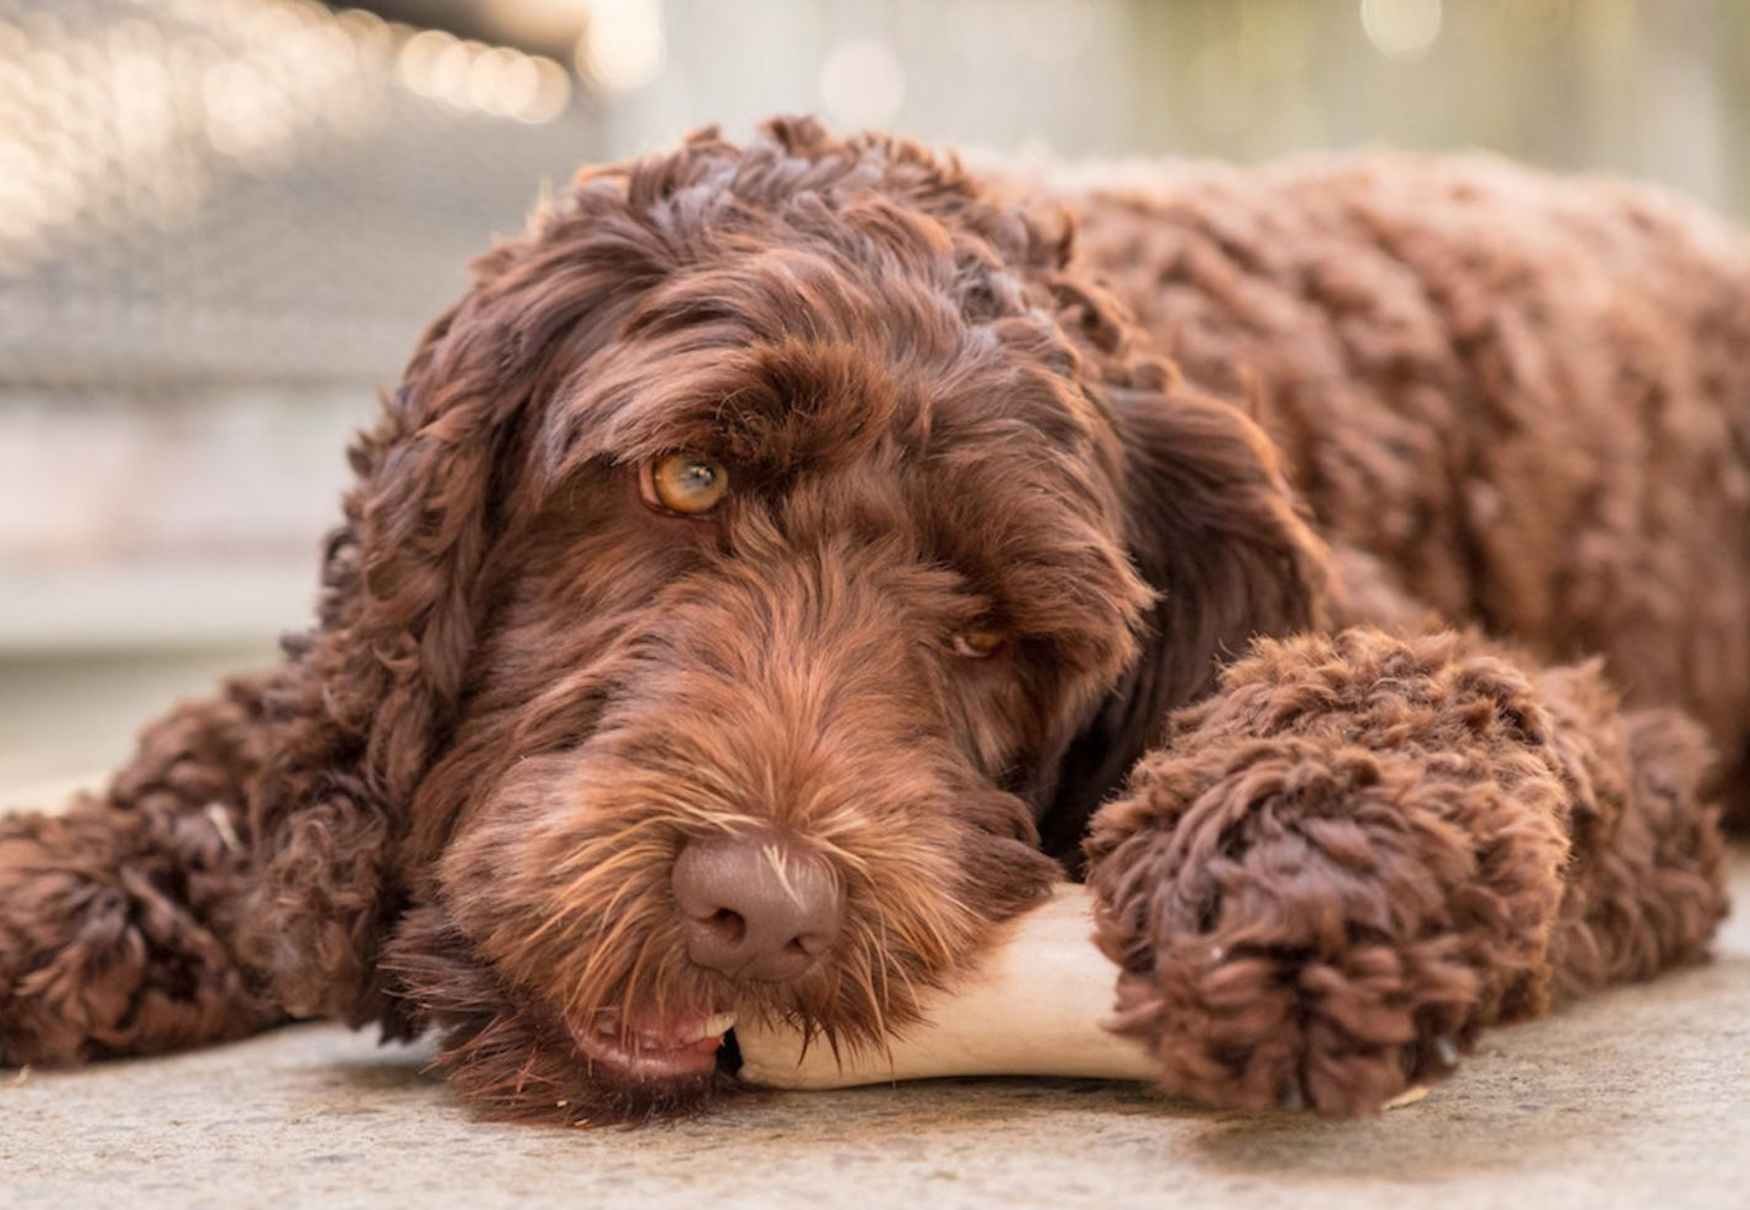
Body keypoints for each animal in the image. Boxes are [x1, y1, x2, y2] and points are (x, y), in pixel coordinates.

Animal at [0, 118, 1743, 1120]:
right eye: (688, 476)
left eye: (991, 632)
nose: (756, 906)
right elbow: (238, 747)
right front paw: (62, 876)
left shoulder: (1625, 755)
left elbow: (1433, 696)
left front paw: (1303, 872)